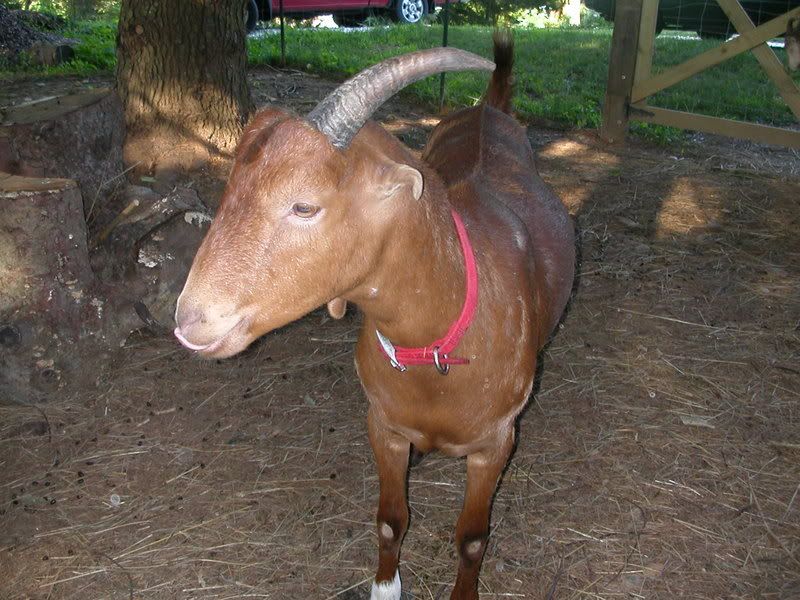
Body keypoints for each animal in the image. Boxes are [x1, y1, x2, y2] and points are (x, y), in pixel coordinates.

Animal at [174, 33, 575, 599]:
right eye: (230, 188)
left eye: (304, 206)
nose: (190, 319)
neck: (439, 343)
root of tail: (488, 109)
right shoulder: (383, 426)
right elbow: (390, 520)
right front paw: (386, 585)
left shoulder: (496, 444)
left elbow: (472, 539)